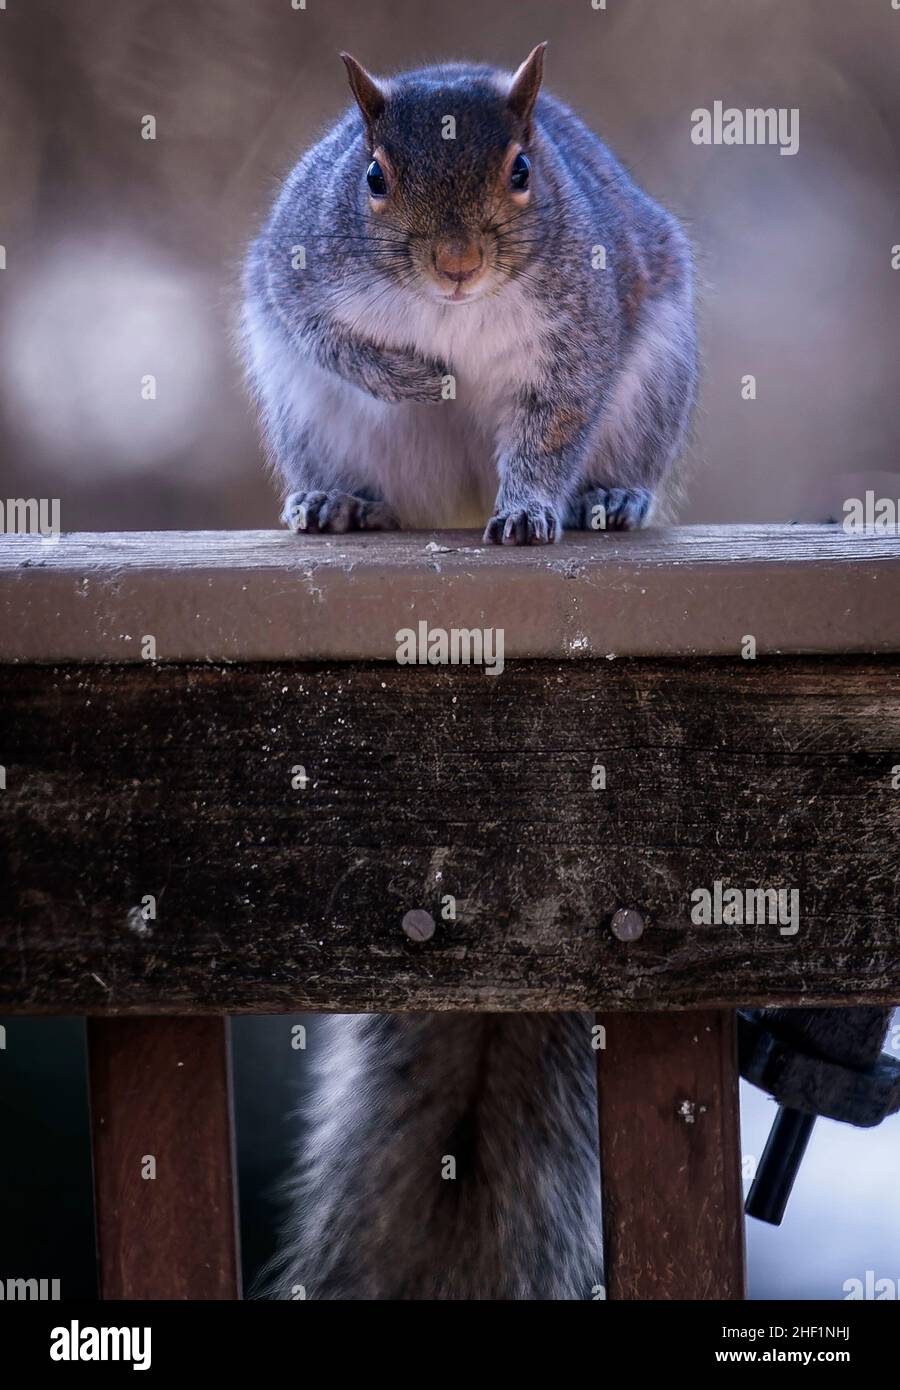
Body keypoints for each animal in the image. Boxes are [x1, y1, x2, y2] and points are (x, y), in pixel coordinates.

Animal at [243, 43, 701, 1295]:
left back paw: (607, 500)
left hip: (653, 380)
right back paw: (339, 502)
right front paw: (407, 371)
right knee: (342, 447)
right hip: (305, 412)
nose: (453, 270)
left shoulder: (578, 340)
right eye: (373, 177)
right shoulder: (296, 283)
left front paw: (536, 507)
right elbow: (332, 336)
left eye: (523, 170)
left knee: (610, 452)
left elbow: (548, 426)